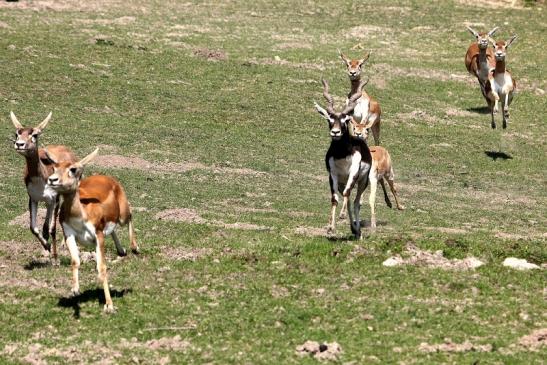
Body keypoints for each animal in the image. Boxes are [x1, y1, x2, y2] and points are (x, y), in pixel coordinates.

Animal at [8, 111, 77, 262]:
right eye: (17, 134)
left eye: (34, 135)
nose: (19, 144)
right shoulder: (34, 198)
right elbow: (34, 227)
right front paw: (47, 247)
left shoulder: (54, 199)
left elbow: (51, 228)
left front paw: (55, 258)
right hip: (47, 202)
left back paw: (64, 244)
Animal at [46, 146, 139, 312]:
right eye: (54, 168)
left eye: (73, 169)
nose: (52, 180)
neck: (80, 214)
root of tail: (107, 178)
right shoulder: (69, 234)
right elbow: (75, 261)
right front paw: (75, 289)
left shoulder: (98, 236)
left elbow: (101, 268)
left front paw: (109, 305)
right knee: (113, 230)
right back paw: (122, 250)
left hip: (122, 216)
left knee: (130, 215)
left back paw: (135, 247)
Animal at [312, 79, 372, 239]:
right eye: (329, 119)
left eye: (345, 119)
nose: (335, 132)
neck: (342, 155)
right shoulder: (333, 175)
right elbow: (335, 199)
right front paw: (330, 228)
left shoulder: (353, 173)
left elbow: (347, 194)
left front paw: (342, 216)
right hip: (341, 182)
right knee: (349, 199)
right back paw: (353, 229)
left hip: (363, 181)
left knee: (356, 201)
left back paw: (358, 231)